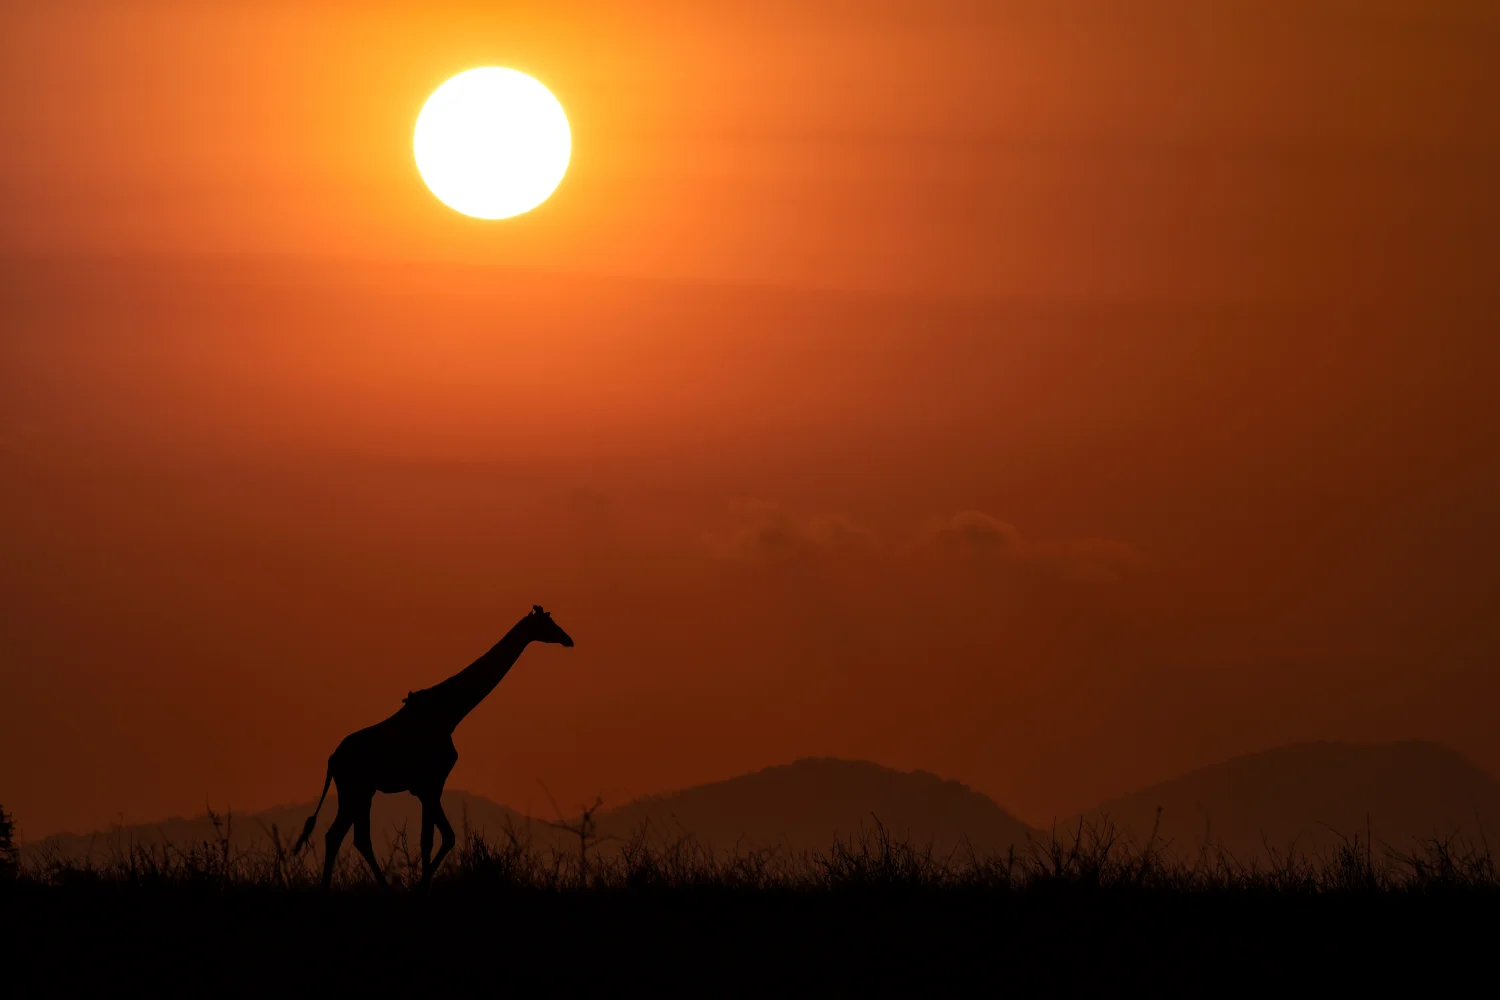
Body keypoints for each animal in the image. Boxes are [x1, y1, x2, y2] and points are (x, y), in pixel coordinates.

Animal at [292, 605, 575, 887]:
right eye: (547, 624)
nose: (568, 640)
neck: (450, 713)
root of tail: (332, 759)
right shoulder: (431, 783)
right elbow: (442, 837)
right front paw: (421, 884)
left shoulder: (425, 787)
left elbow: (429, 839)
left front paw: (422, 882)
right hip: (354, 789)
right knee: (340, 835)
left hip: (362, 791)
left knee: (351, 837)